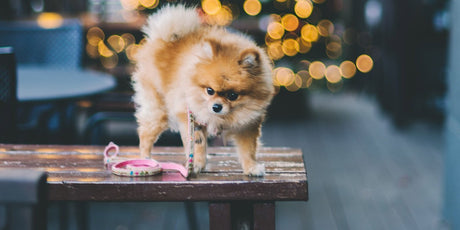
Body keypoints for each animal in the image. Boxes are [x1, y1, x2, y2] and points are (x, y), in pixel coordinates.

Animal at [133, 4, 274, 176]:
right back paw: (146, 159)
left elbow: (248, 150)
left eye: (232, 95)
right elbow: (198, 143)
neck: (224, 117)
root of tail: (164, 39)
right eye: (210, 90)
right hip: (159, 110)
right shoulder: (192, 117)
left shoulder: (247, 126)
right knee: (145, 134)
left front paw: (251, 167)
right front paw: (197, 164)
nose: (216, 107)